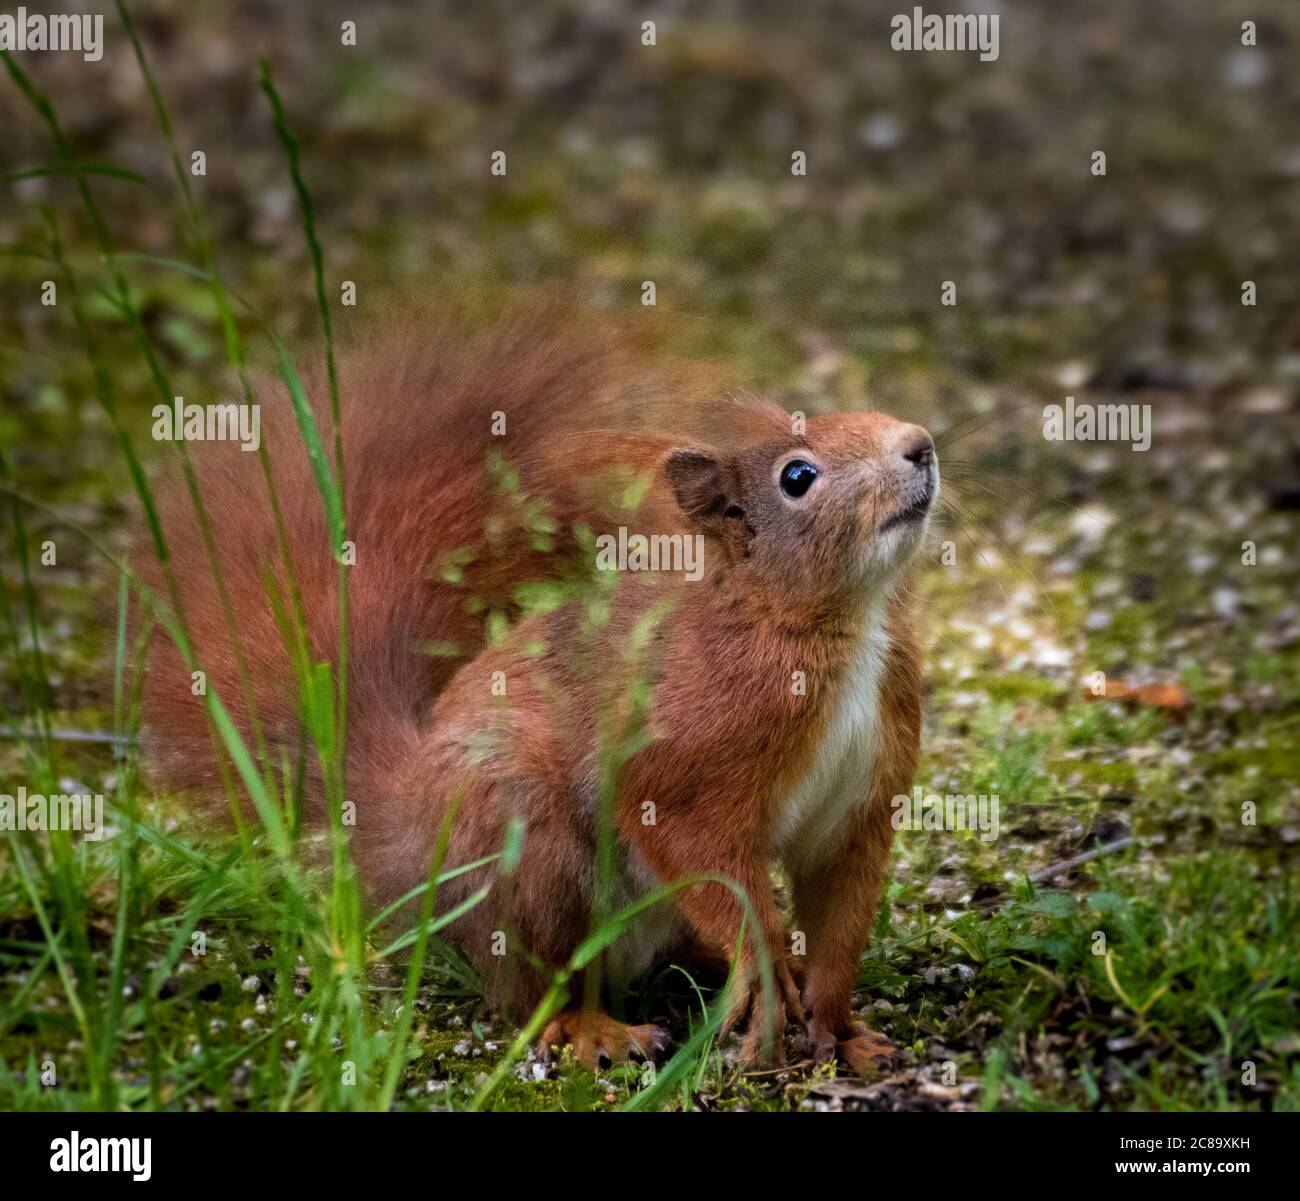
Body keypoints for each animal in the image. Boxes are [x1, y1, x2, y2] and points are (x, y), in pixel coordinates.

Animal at [139, 305, 937, 1073]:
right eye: (797, 477)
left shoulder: (860, 799)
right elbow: (701, 854)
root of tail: (404, 828)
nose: (921, 443)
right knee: (534, 988)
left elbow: (839, 914)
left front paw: (840, 1029)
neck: (841, 628)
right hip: (528, 842)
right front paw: (764, 969)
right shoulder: (684, 760)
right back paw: (595, 1030)